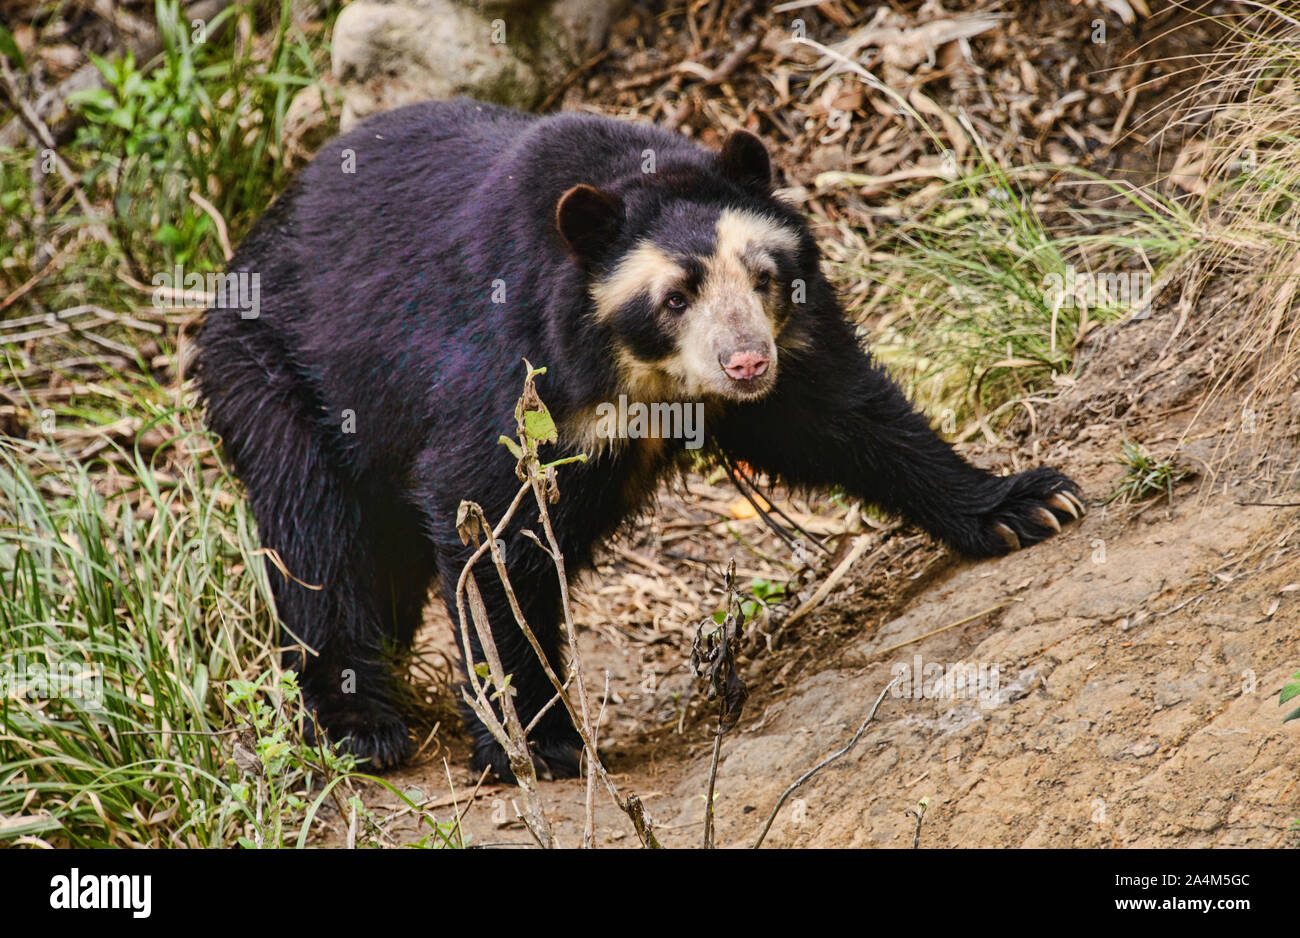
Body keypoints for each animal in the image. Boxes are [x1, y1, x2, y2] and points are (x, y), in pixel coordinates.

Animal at [197, 98, 1083, 780]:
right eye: (675, 298)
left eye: (762, 277)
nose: (746, 363)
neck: (635, 372)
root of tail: (252, 244)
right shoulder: (511, 369)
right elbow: (484, 520)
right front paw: (538, 742)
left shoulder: (797, 347)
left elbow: (847, 416)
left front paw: (1027, 504)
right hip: (273, 377)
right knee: (315, 537)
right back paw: (361, 726)